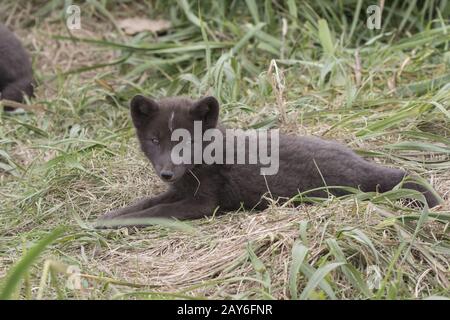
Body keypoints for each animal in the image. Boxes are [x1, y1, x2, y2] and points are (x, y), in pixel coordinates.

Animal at [97, 95, 440, 228]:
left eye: (187, 141)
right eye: (155, 141)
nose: (167, 172)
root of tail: (356, 159)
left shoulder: (203, 203)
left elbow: (154, 212)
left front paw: (112, 223)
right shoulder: (176, 190)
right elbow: (144, 203)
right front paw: (103, 218)